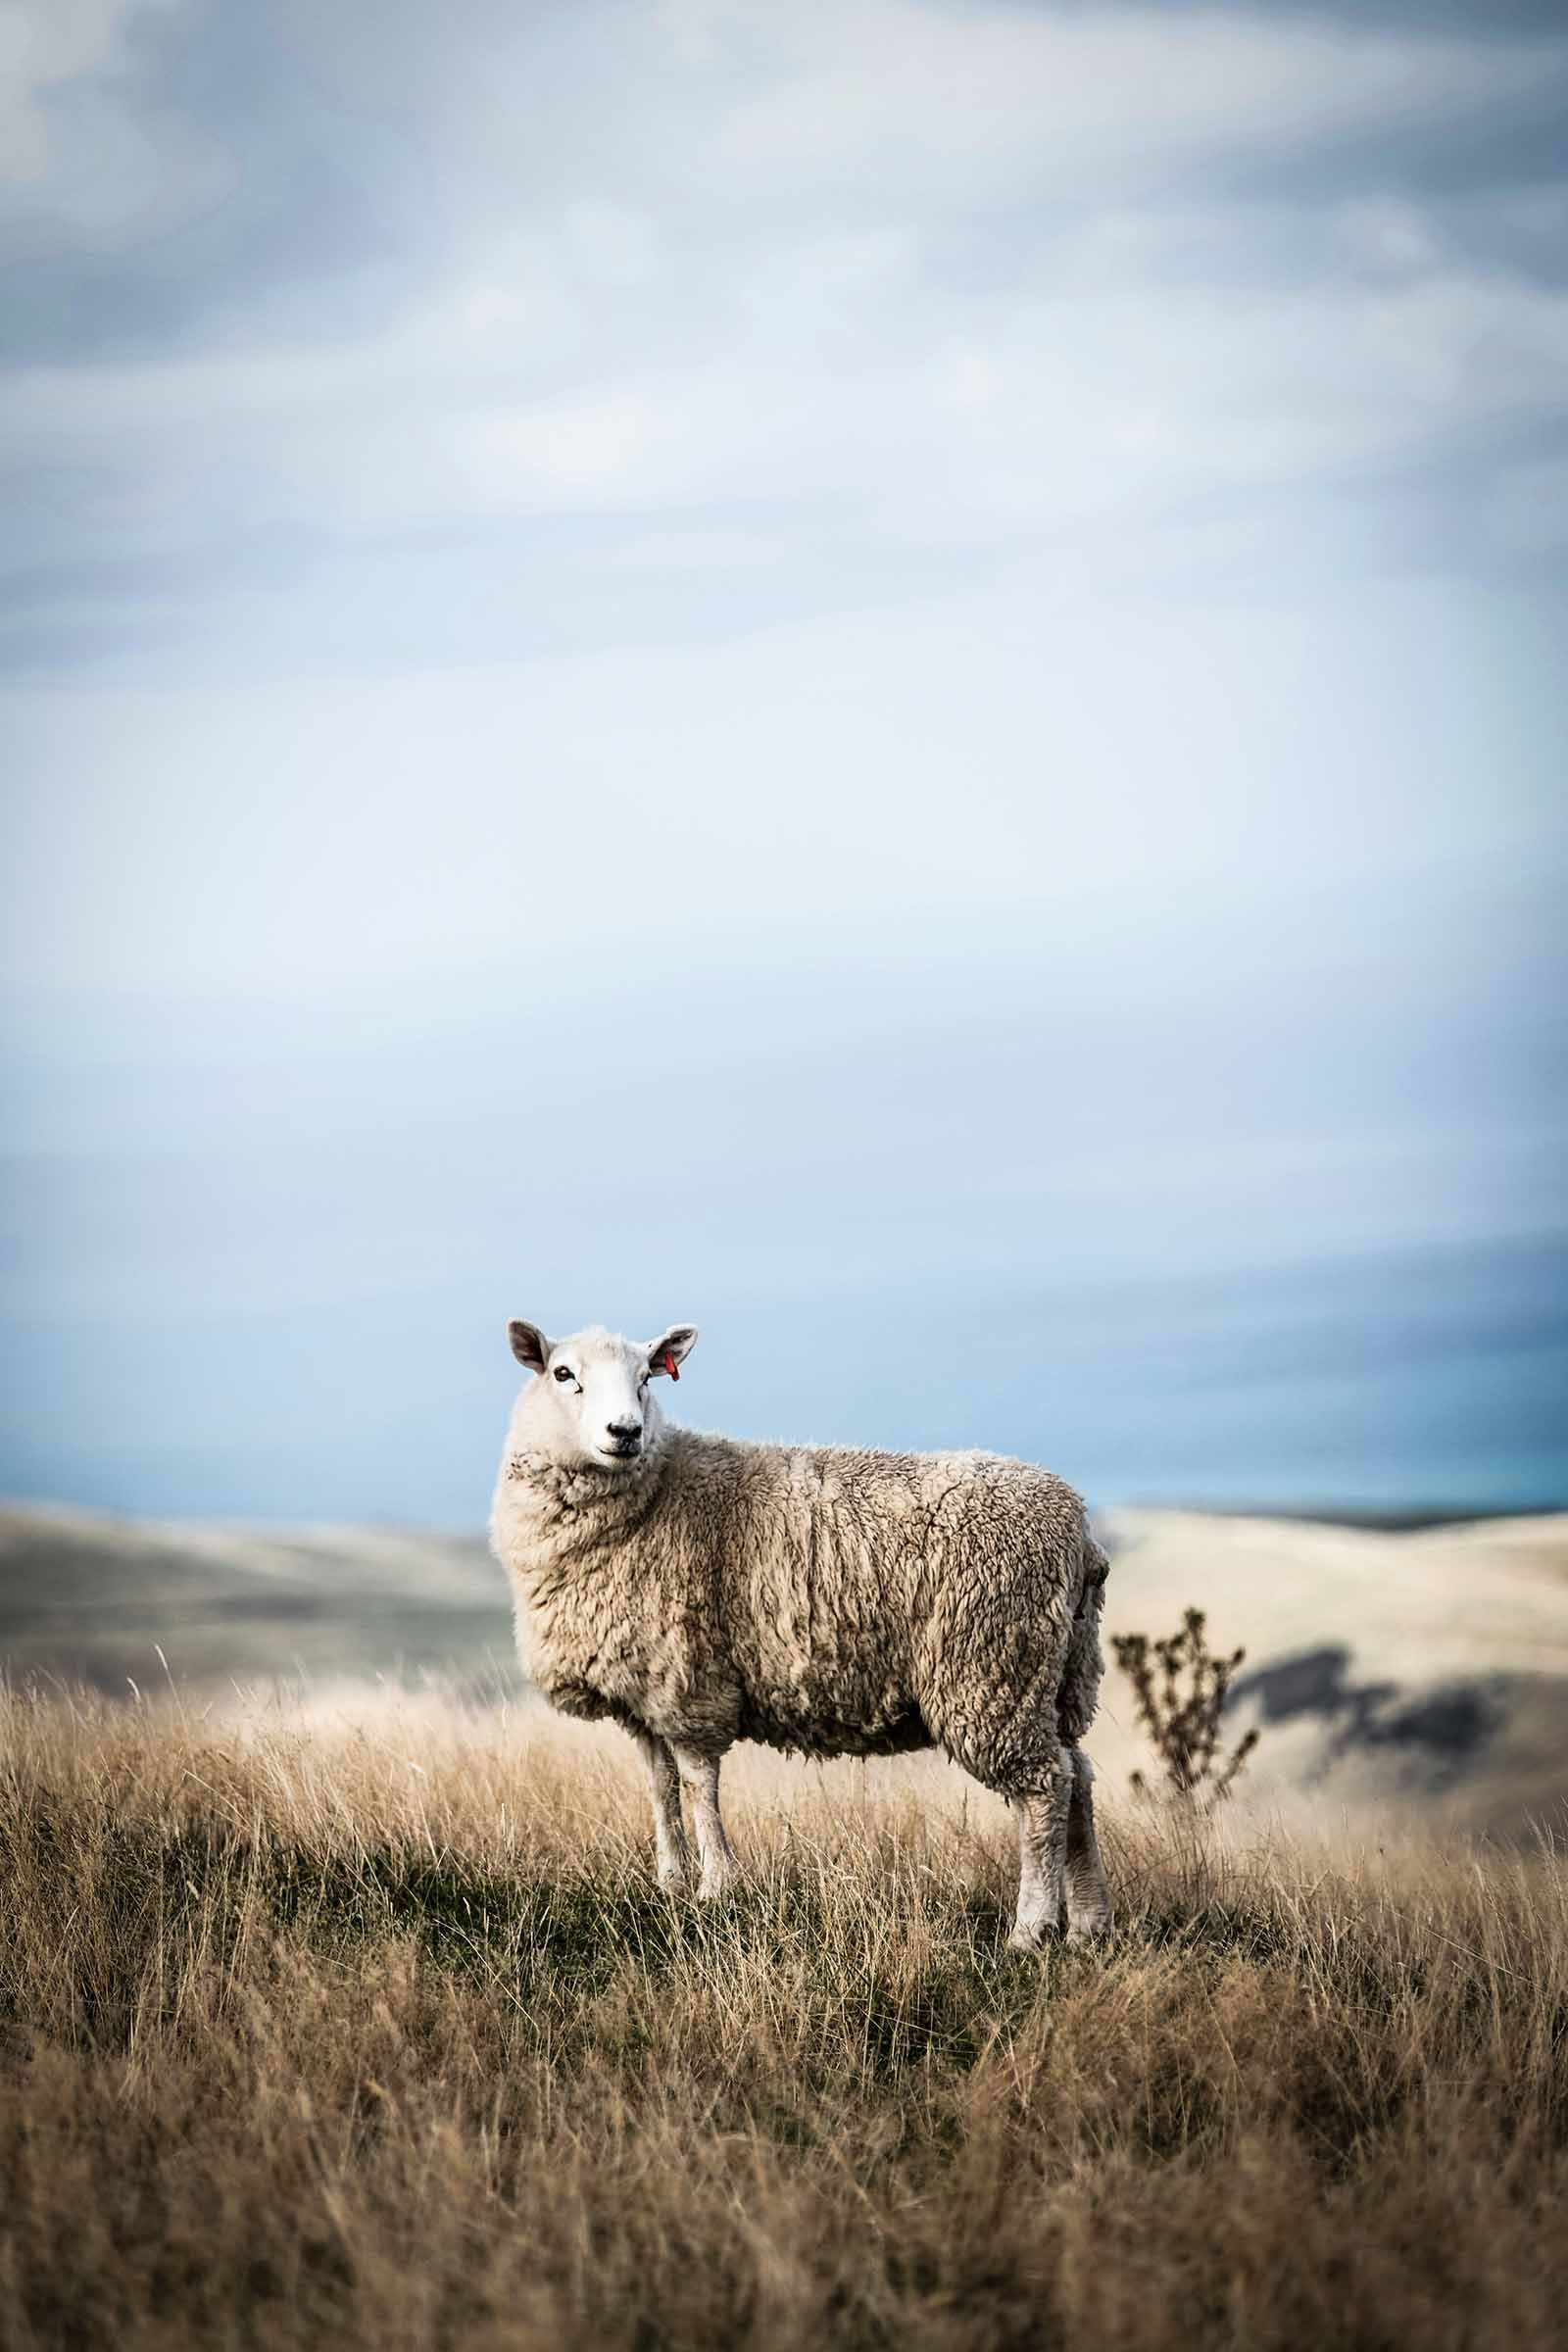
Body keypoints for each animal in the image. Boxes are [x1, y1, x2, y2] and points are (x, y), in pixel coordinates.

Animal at [489, 1317, 1113, 1949]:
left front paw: (716, 1887)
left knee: (1043, 1788)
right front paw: (670, 1882)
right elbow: (661, 1786)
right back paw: (1089, 1923)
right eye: (563, 1373)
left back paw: (1032, 1927)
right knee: (1078, 1777)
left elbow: (698, 1783)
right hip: (1056, 1674)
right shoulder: (644, 1690)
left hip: (991, 1669)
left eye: (646, 1377)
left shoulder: (691, 1682)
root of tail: (1078, 1530)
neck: (657, 1491)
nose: (625, 1432)